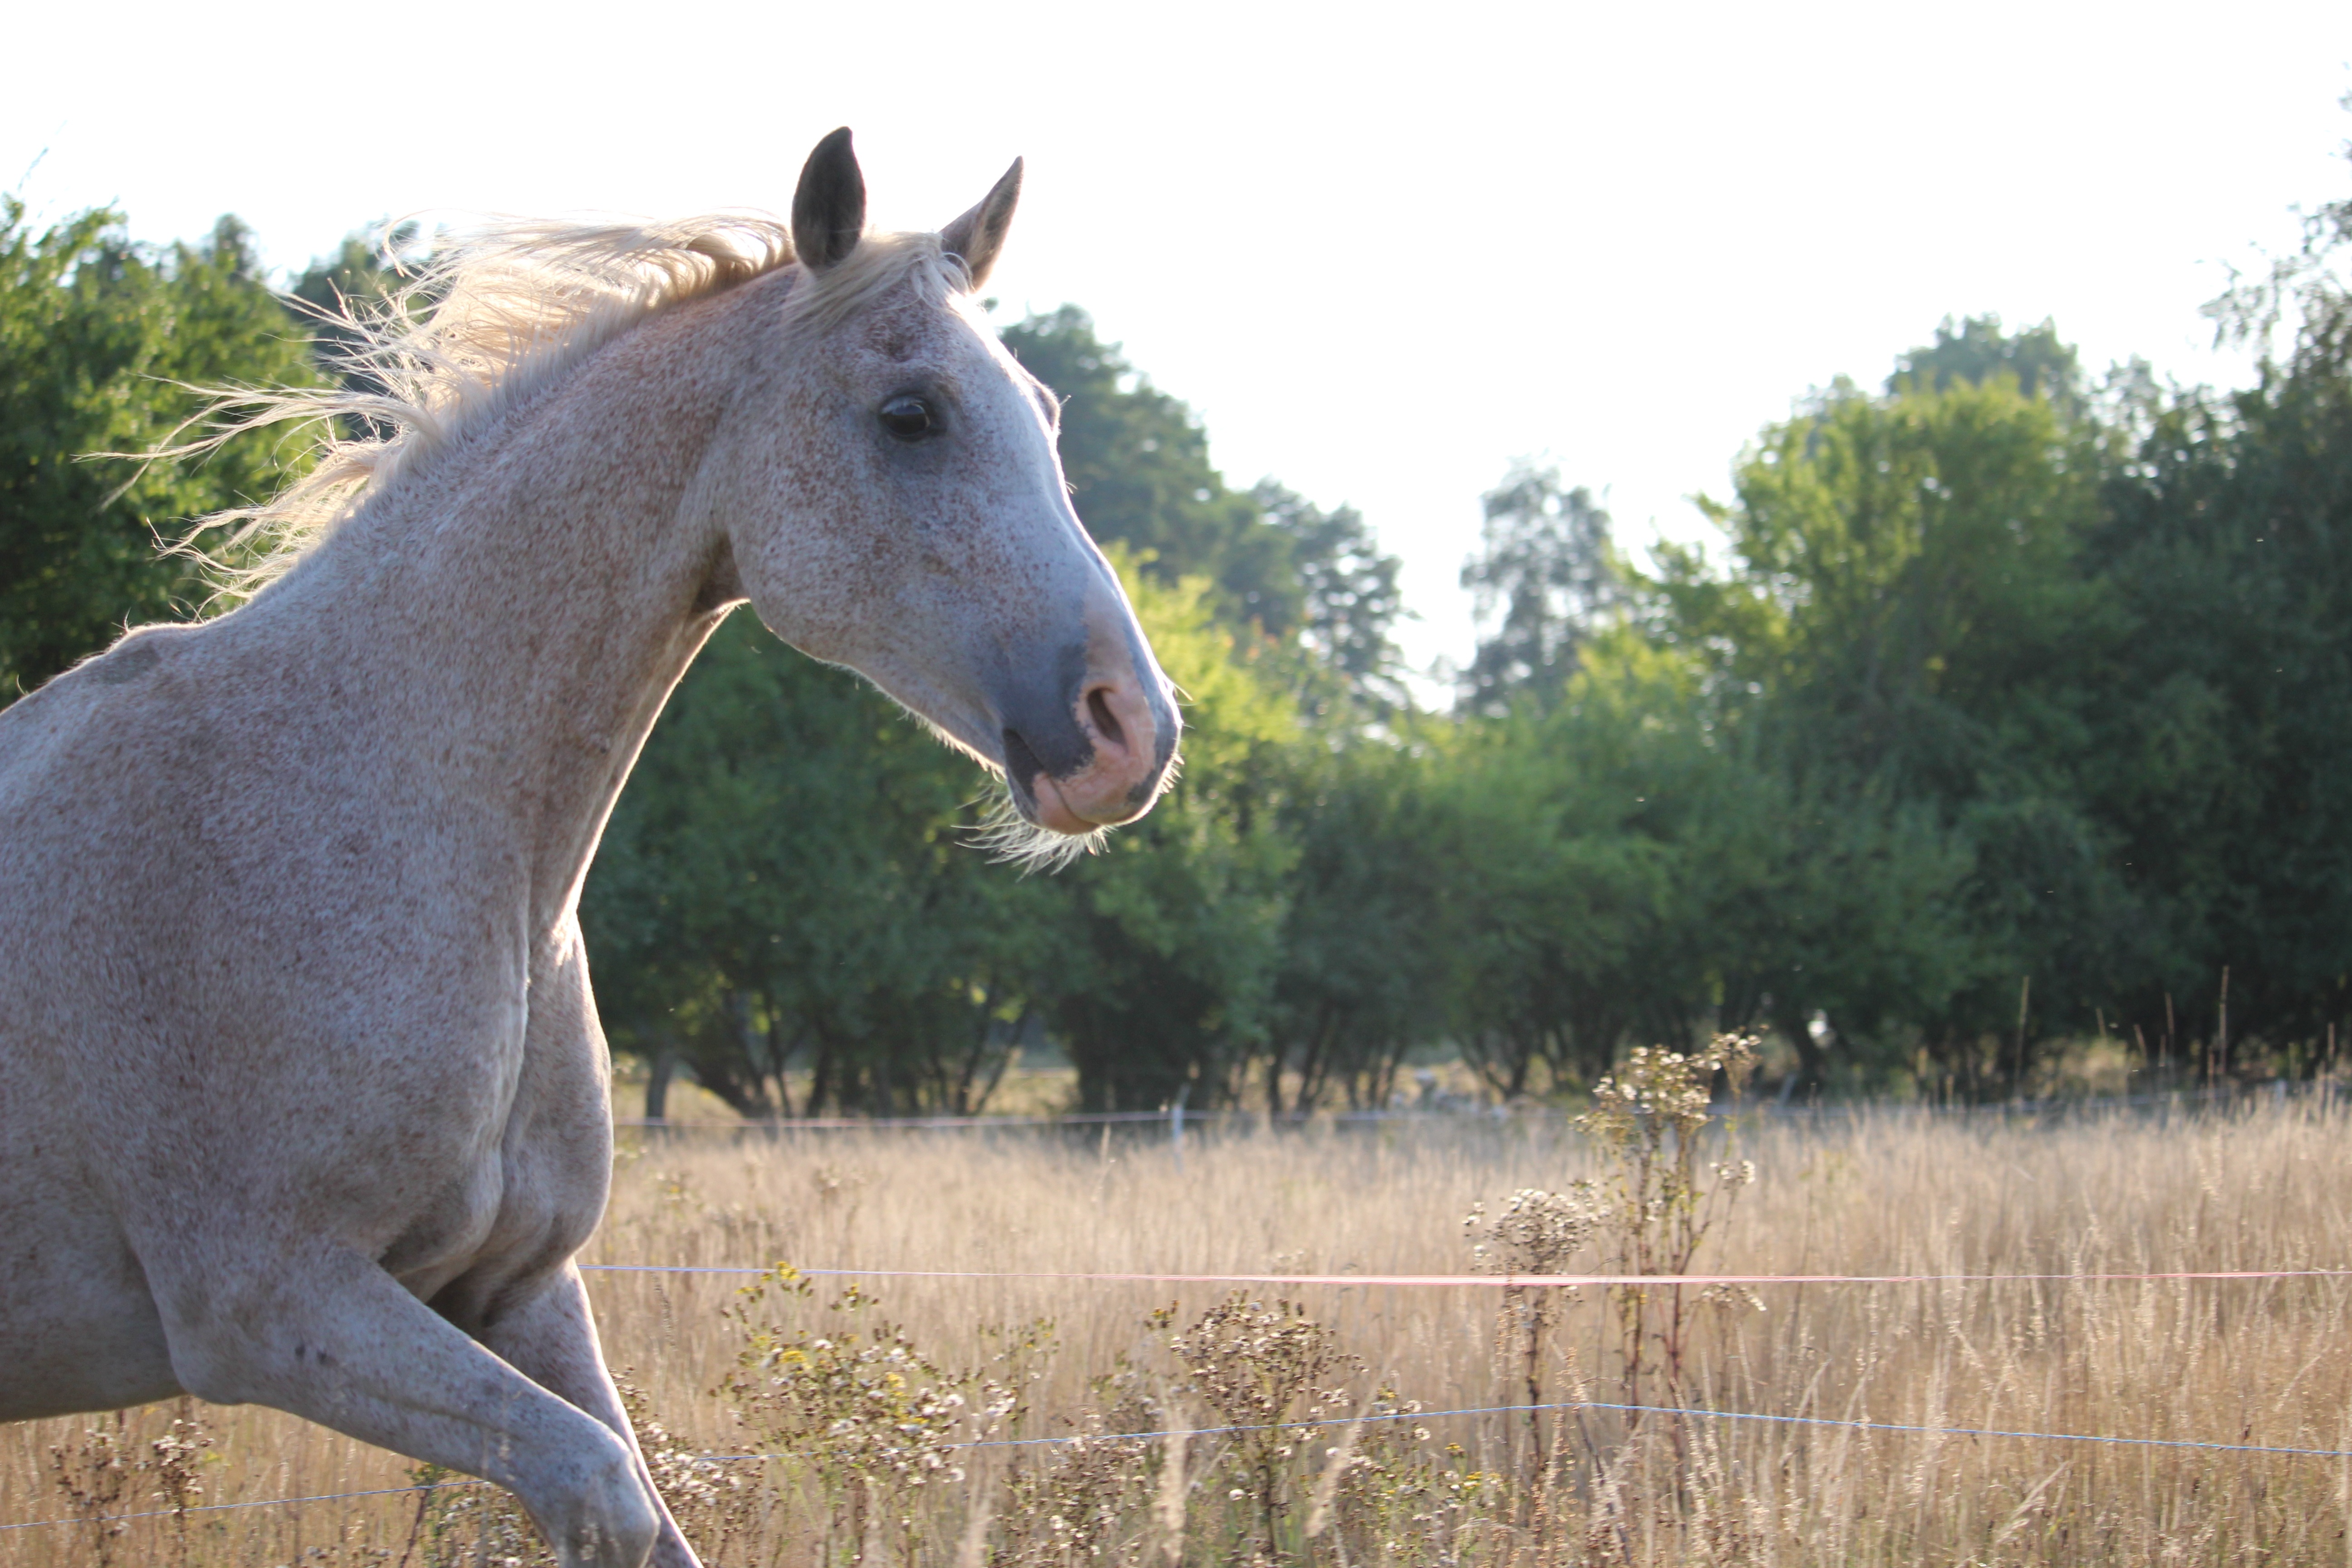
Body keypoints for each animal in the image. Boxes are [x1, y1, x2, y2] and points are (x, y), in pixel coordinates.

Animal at [0, 128, 1176, 1561]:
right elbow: (599, 1490)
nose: (1128, 730)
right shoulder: (273, 1305)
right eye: (911, 414)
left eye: (1047, 412)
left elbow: (644, 1510)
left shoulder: (518, 1288)